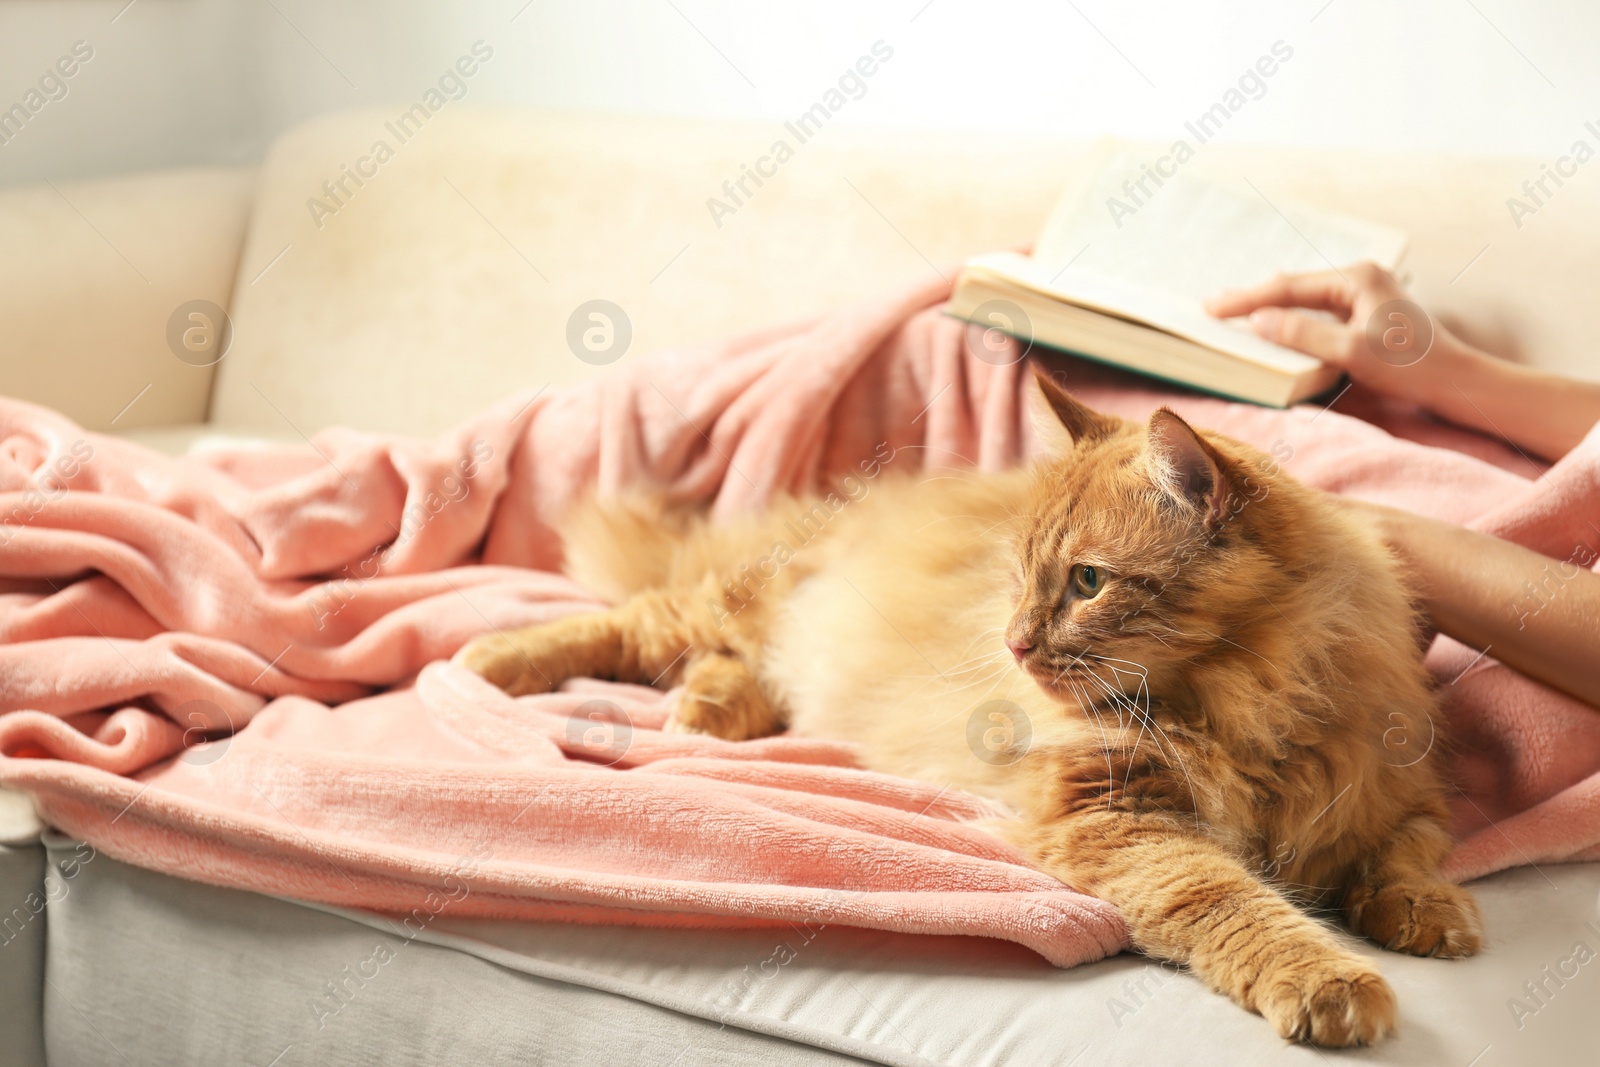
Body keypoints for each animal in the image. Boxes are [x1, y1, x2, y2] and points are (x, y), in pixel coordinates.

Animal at [467, 371, 1484, 1049]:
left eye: (1086, 582)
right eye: (1023, 576)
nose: (1015, 644)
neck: (1257, 701)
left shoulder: (1390, 791)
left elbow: (1406, 855)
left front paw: (1426, 914)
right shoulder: (1118, 815)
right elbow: (1234, 901)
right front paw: (1327, 978)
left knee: (734, 671)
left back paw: (709, 714)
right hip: (740, 604)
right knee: (637, 621)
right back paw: (493, 660)